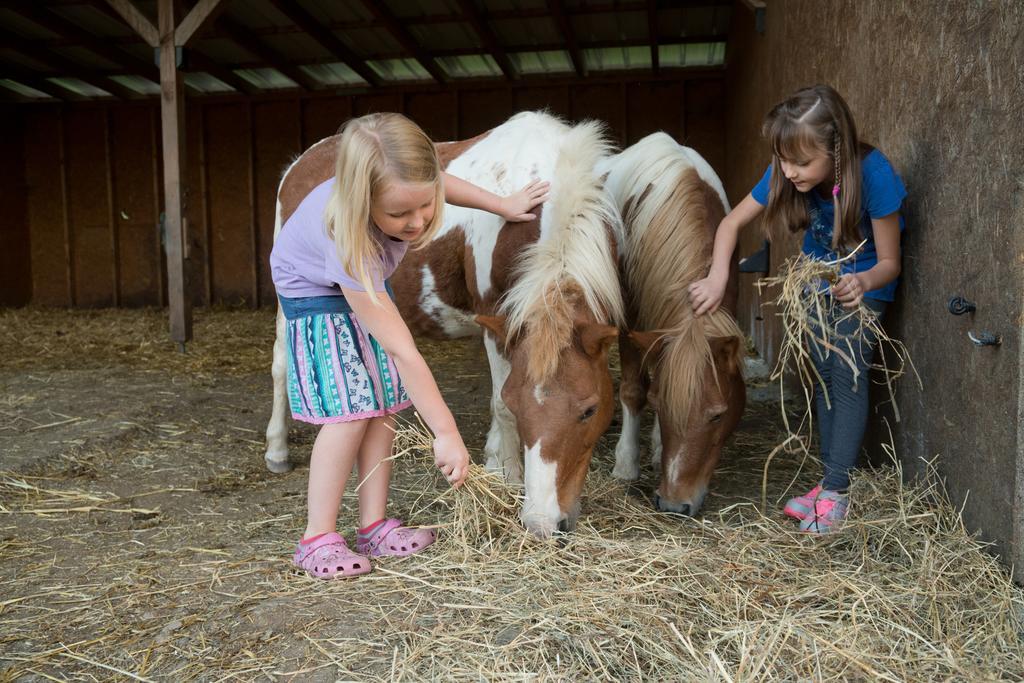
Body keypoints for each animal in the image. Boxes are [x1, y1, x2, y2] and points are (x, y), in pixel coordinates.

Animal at [262, 112, 622, 536]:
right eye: (518, 405)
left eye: (590, 410)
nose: (543, 523)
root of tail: (301, 163)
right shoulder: (496, 320)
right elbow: (498, 402)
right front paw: (506, 475)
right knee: (282, 366)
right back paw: (277, 450)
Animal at [598, 133, 745, 516]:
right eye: (661, 407)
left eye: (718, 416)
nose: (674, 505)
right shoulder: (629, 321)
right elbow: (634, 390)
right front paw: (626, 464)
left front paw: (658, 449)